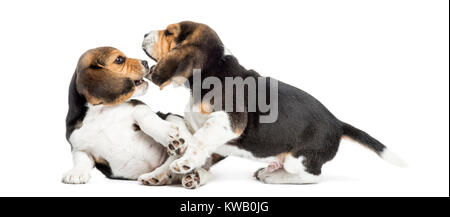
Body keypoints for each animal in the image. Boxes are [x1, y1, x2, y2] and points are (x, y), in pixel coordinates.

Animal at [62, 46, 195, 184]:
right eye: (119, 59)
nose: (146, 62)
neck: (101, 112)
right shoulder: (80, 148)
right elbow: (80, 160)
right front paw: (76, 173)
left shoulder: (137, 105)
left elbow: (145, 117)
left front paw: (167, 133)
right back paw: (155, 176)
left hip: (172, 116)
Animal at [142, 20, 406, 186]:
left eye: (169, 32)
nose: (144, 34)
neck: (214, 69)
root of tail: (338, 123)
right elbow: (186, 148)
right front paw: (160, 173)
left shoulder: (227, 121)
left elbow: (198, 140)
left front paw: (184, 164)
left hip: (298, 159)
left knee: (313, 176)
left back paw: (273, 177)